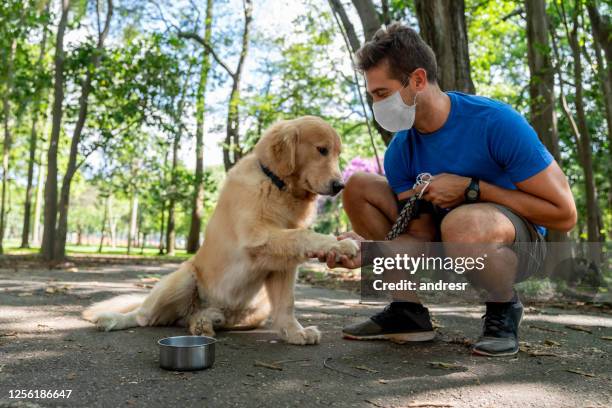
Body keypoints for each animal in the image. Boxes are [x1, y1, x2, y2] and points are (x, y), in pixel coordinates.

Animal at [81, 115, 358, 344]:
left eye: (337, 154)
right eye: (321, 150)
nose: (340, 185)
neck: (278, 185)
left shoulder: (282, 265)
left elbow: (286, 304)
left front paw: (294, 333)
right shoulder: (256, 238)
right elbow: (303, 234)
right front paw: (340, 244)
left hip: (255, 309)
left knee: (195, 319)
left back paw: (206, 320)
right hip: (183, 279)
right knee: (143, 316)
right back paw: (112, 319)